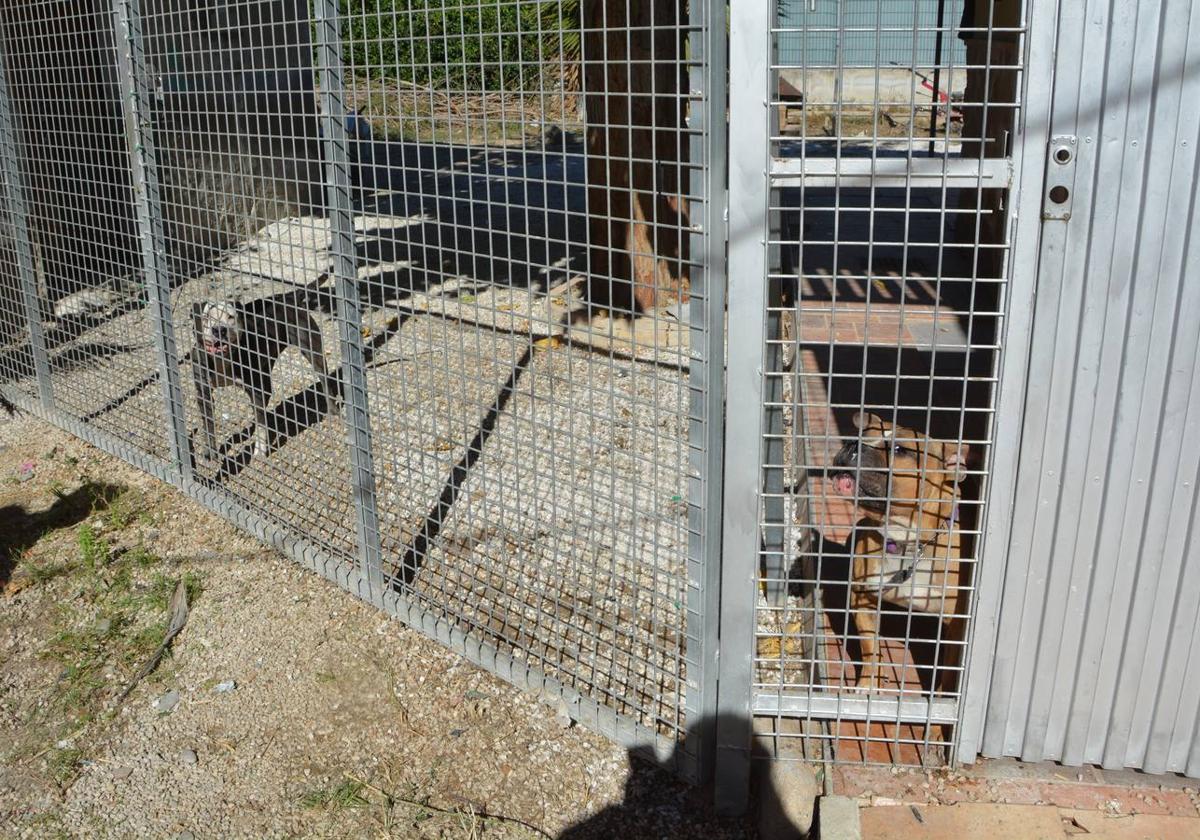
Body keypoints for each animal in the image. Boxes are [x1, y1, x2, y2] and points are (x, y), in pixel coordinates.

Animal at [830, 410, 969, 691]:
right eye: (862, 435)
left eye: (899, 449)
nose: (853, 445)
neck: (909, 543)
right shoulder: (863, 599)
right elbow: (870, 647)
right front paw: (868, 685)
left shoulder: (955, 623)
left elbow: (948, 669)